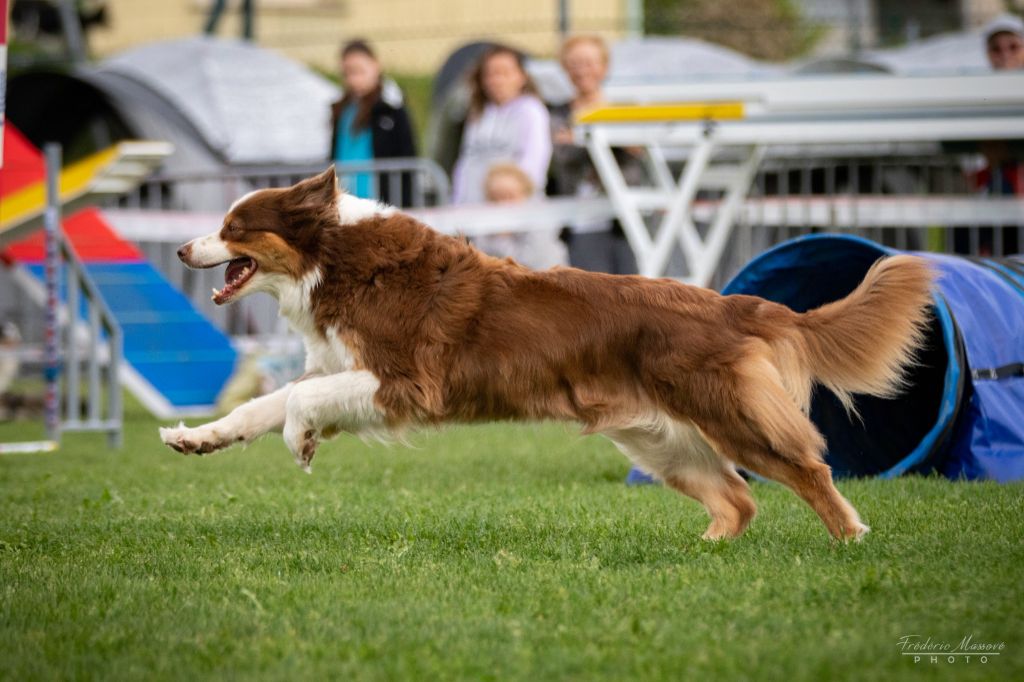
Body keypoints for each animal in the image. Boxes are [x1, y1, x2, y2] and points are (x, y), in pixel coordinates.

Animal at [161, 167, 934, 541]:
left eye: (234, 227)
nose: (180, 248)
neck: (336, 258)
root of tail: (729, 303)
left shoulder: (406, 382)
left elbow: (296, 400)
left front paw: (302, 442)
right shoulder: (341, 368)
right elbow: (264, 404)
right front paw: (195, 437)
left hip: (728, 416)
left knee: (807, 468)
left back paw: (851, 541)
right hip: (659, 442)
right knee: (739, 499)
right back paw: (702, 553)